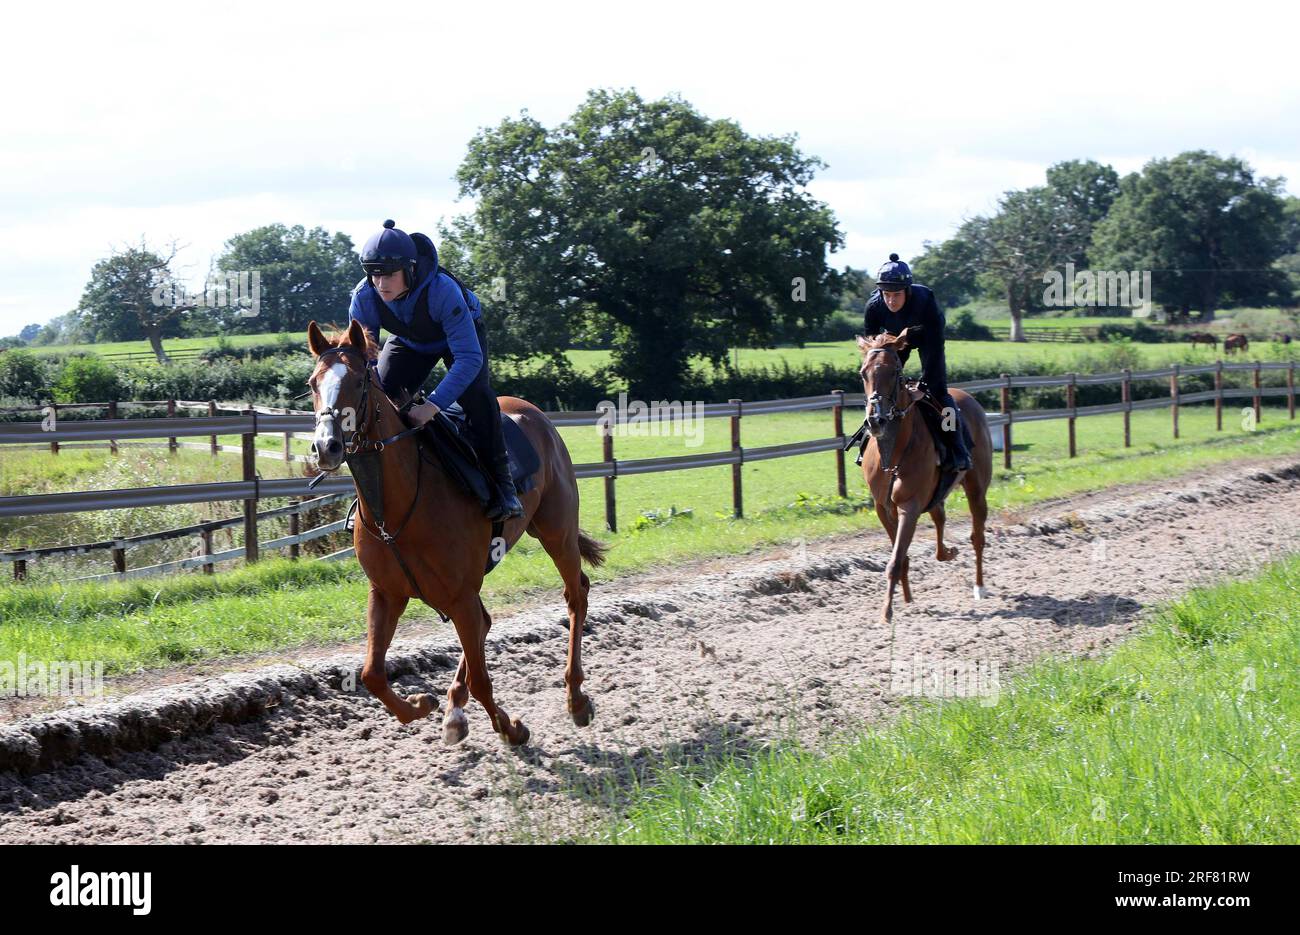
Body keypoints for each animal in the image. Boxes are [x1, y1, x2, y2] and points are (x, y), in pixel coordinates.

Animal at [306, 319, 605, 743]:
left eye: (358, 382)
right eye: (313, 382)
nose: (326, 446)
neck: (393, 511)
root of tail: (535, 414)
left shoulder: (460, 594)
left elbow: (482, 680)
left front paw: (511, 730)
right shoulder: (388, 593)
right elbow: (372, 675)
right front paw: (423, 704)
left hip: (556, 531)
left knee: (575, 594)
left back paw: (576, 699)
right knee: (486, 621)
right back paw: (453, 709)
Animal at [852, 331, 993, 629]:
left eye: (894, 372)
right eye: (863, 372)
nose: (876, 420)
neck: (893, 455)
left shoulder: (910, 505)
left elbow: (895, 559)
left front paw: (886, 613)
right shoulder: (883, 507)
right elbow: (901, 554)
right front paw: (905, 598)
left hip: (976, 489)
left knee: (977, 535)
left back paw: (979, 586)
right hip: (936, 493)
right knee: (940, 517)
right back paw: (947, 552)